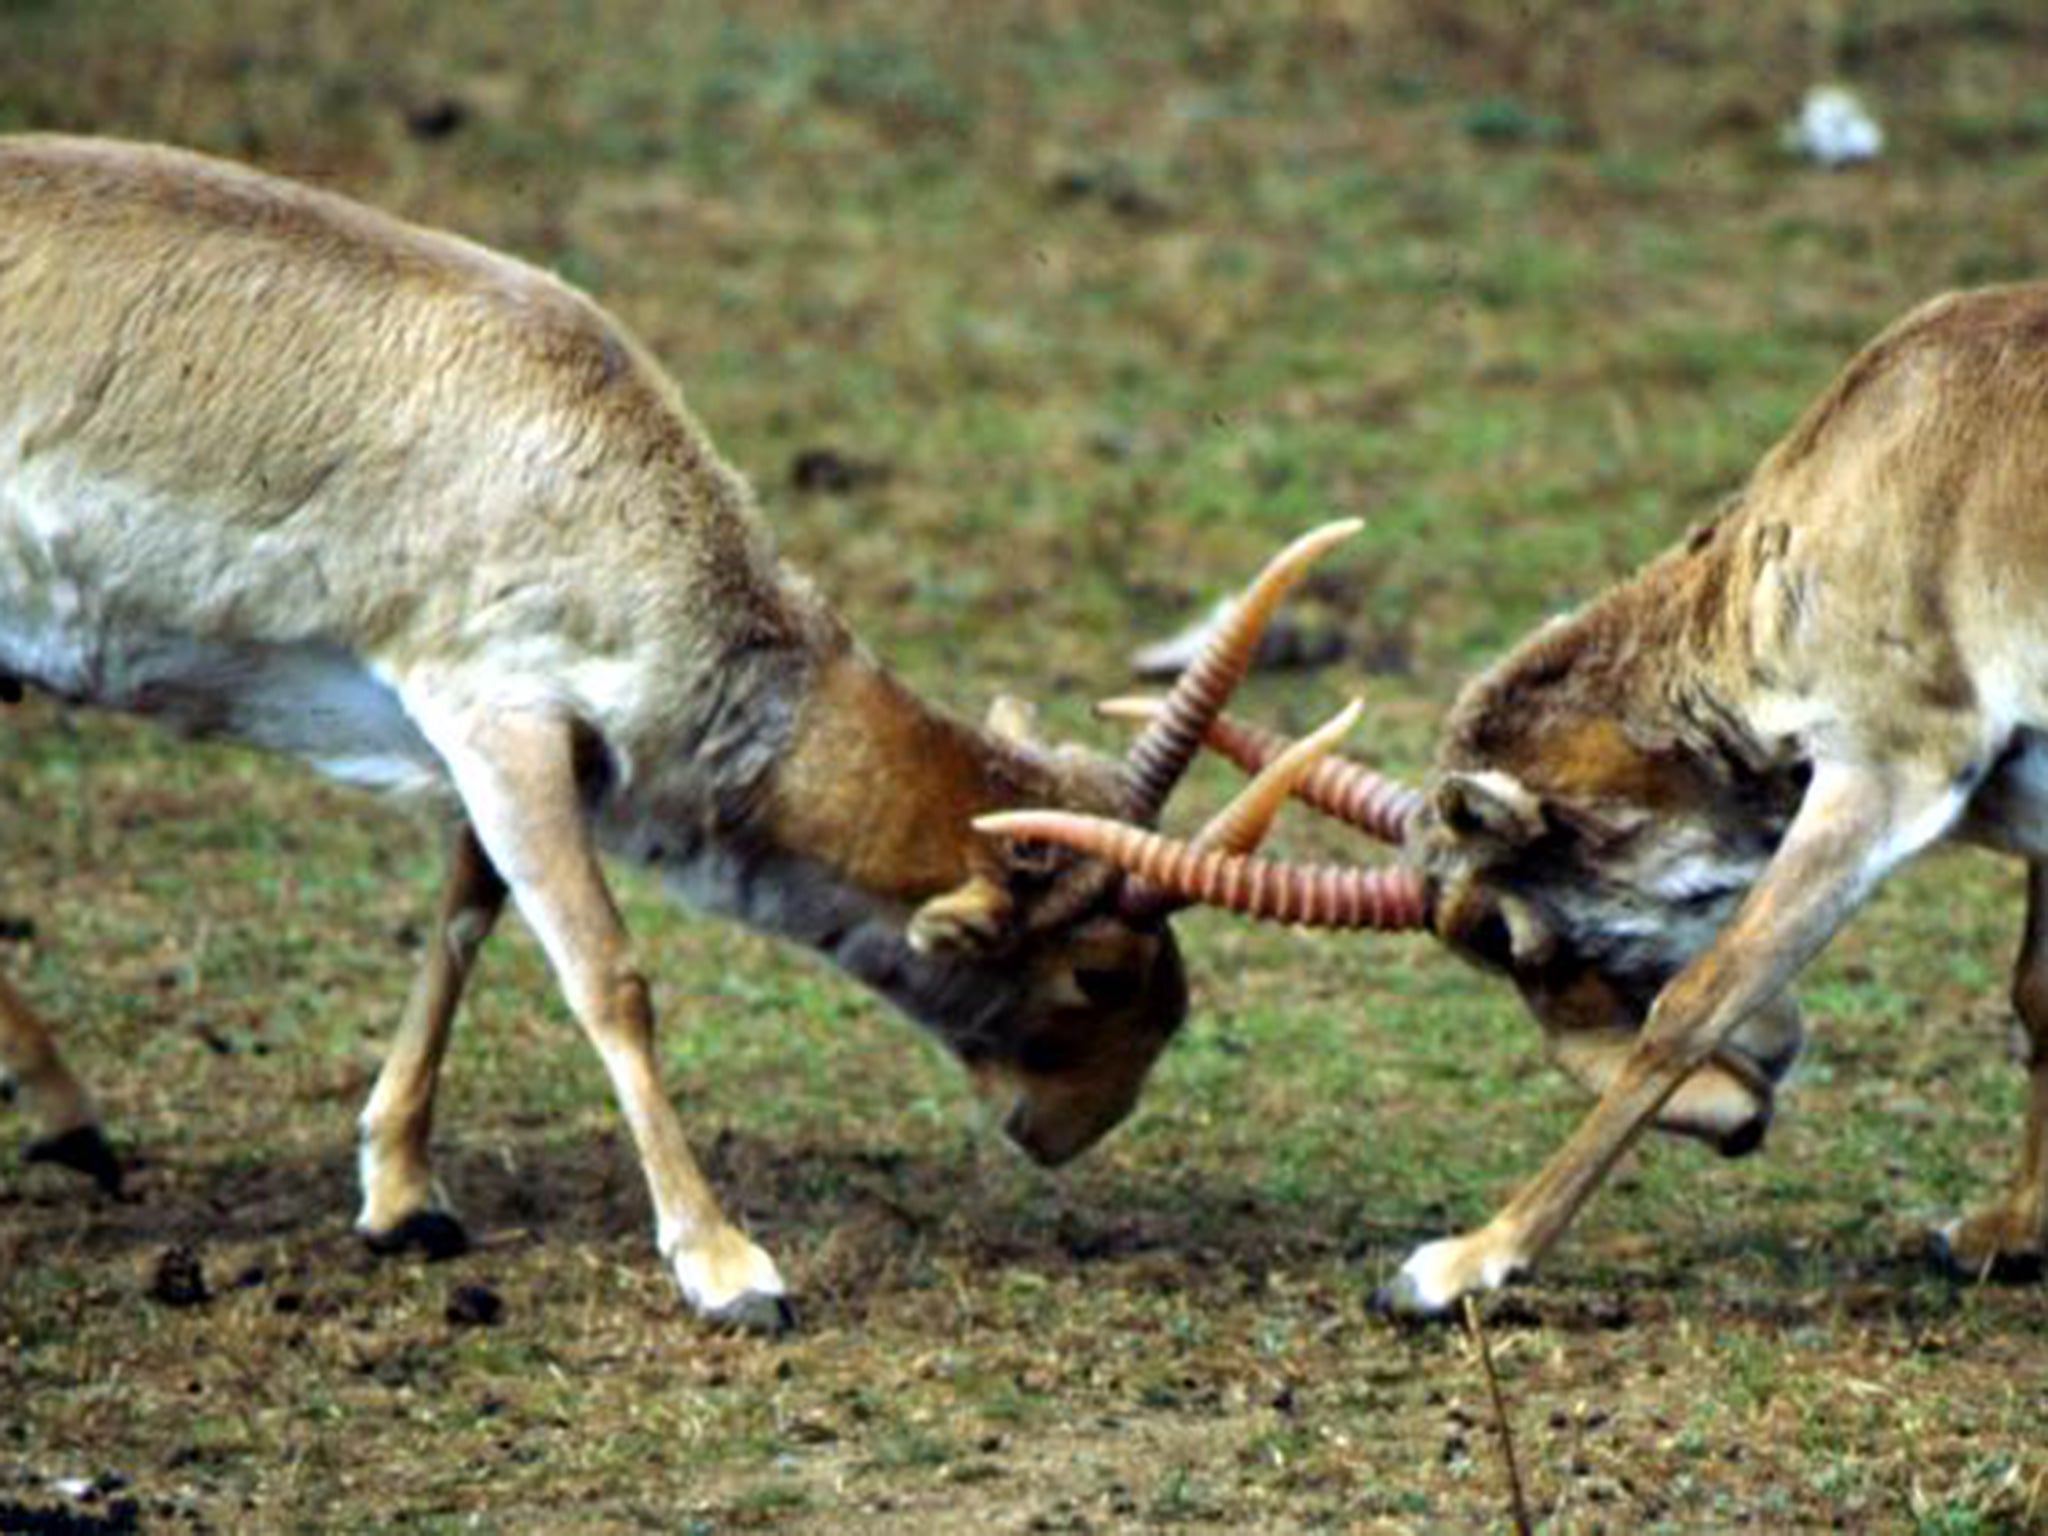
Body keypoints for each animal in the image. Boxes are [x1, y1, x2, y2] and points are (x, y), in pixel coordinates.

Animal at [0, 138, 1343, 1327]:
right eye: (1100, 969)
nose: (1082, 1125)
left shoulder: (520, 748)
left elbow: (462, 921)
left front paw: (401, 1197)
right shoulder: (496, 712)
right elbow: (609, 978)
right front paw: (727, 1266)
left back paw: (68, 1115)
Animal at [987, 288, 2048, 1327]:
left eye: (1502, 933)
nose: (1743, 1110)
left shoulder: (1882, 772)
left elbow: (1695, 1000)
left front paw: (1455, 1264)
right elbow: (2033, 993)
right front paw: (2003, 1234)